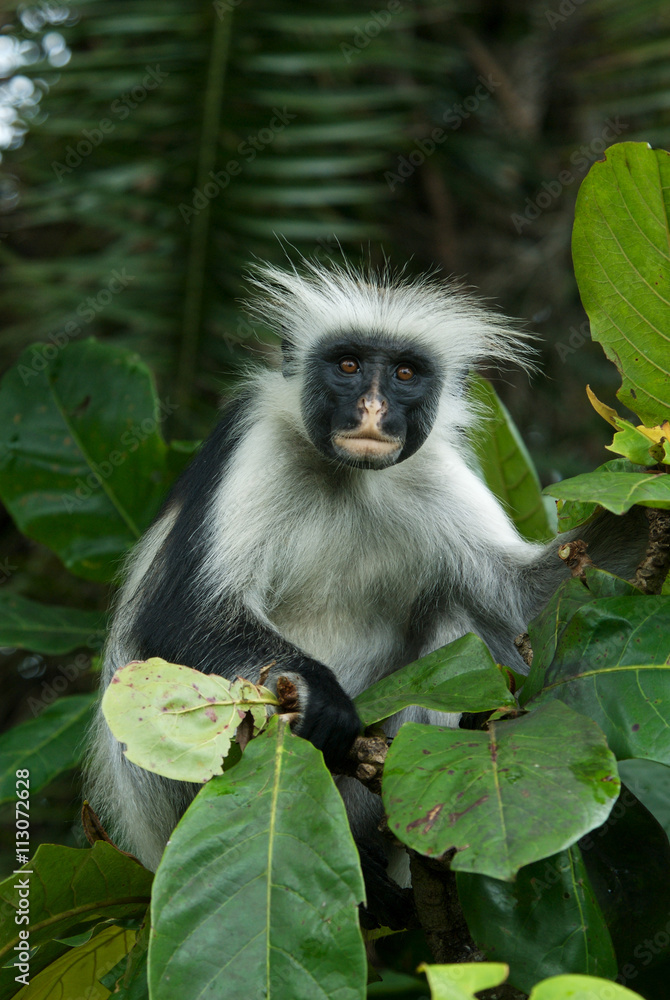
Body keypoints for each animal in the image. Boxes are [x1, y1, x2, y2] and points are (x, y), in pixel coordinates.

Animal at [86, 259, 646, 922]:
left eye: (405, 373)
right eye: (348, 365)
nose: (374, 408)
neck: (347, 477)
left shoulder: (432, 468)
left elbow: (522, 604)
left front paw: (646, 515)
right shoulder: (252, 440)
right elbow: (181, 614)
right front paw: (319, 696)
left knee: (455, 622)